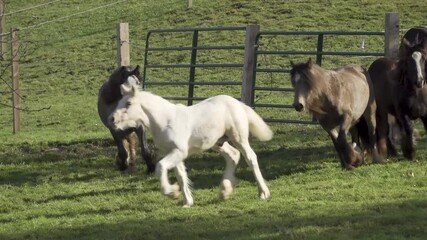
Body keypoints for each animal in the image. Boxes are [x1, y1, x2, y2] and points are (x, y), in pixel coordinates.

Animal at [108, 84, 272, 206]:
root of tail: (237, 103)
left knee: (250, 157)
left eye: (128, 103)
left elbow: (160, 167)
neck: (166, 121)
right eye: (119, 102)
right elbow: (181, 175)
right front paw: (187, 202)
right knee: (233, 155)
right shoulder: (173, 152)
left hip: (239, 138)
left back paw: (263, 192)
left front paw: (172, 192)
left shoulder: (179, 152)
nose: (111, 119)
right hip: (217, 142)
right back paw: (225, 191)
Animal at [370, 27, 426, 159]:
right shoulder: (402, 113)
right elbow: (409, 128)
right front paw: (410, 152)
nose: (419, 81)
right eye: (408, 61)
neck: (416, 92)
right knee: (383, 129)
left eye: (423, 59)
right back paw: (392, 151)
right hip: (381, 111)